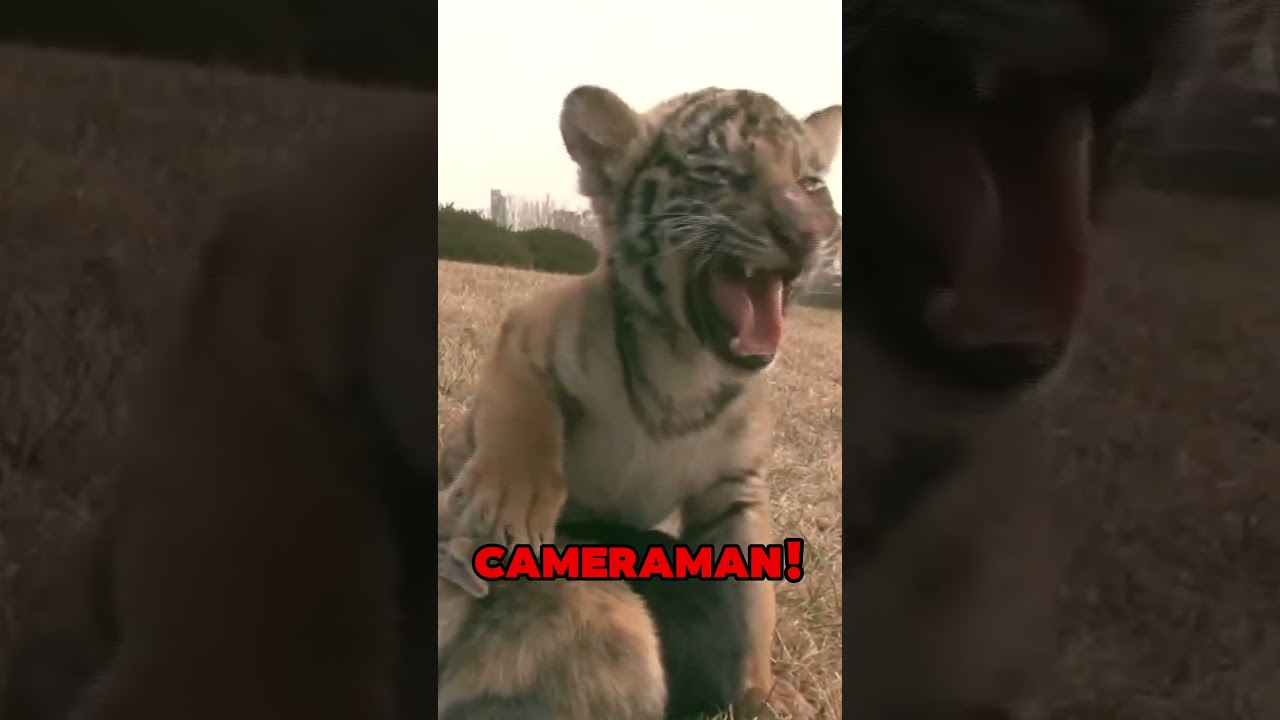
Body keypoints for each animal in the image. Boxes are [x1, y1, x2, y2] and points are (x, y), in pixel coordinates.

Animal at [438, 85, 843, 719]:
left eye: (810, 183)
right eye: (718, 173)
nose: (806, 236)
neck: (686, 366)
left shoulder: (734, 490)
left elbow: (751, 604)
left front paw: (762, 692)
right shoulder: (530, 330)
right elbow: (522, 416)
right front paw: (509, 505)